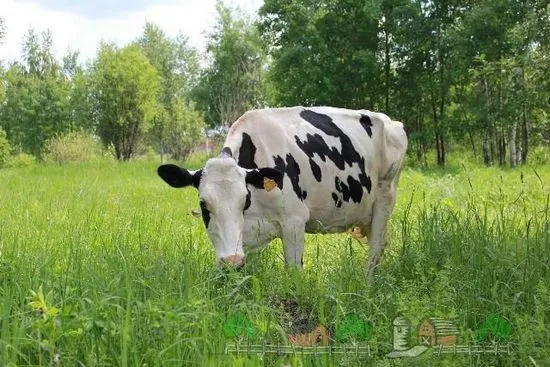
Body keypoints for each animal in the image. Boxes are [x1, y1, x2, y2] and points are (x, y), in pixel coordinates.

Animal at [157, 105, 408, 278]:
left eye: (244, 200)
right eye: (204, 204)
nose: (231, 261)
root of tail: (392, 122)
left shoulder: (294, 221)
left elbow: (294, 272)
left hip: (385, 196)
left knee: (376, 246)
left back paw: (367, 285)